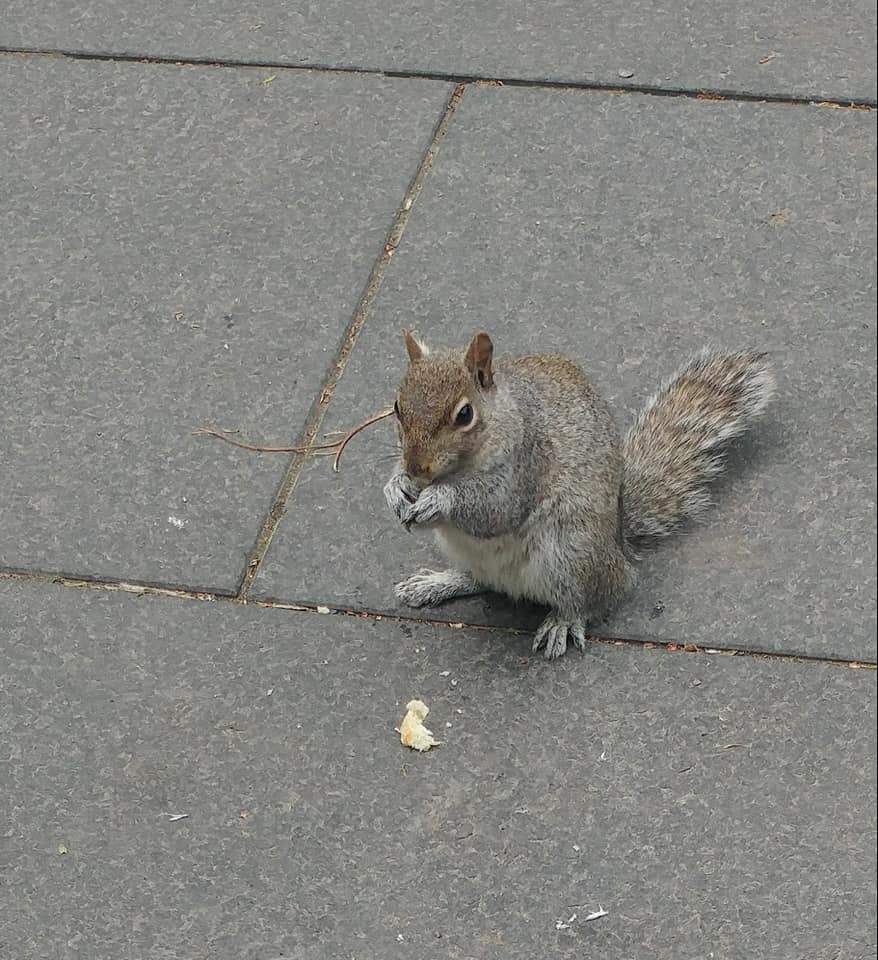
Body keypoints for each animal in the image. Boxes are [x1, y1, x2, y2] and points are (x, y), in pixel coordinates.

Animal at [383, 329, 775, 659]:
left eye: (465, 414)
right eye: (397, 406)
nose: (417, 469)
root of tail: (619, 548)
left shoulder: (526, 464)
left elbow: (495, 509)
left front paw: (439, 498)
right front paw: (395, 487)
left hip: (571, 553)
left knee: (600, 594)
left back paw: (564, 620)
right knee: (481, 579)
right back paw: (437, 583)